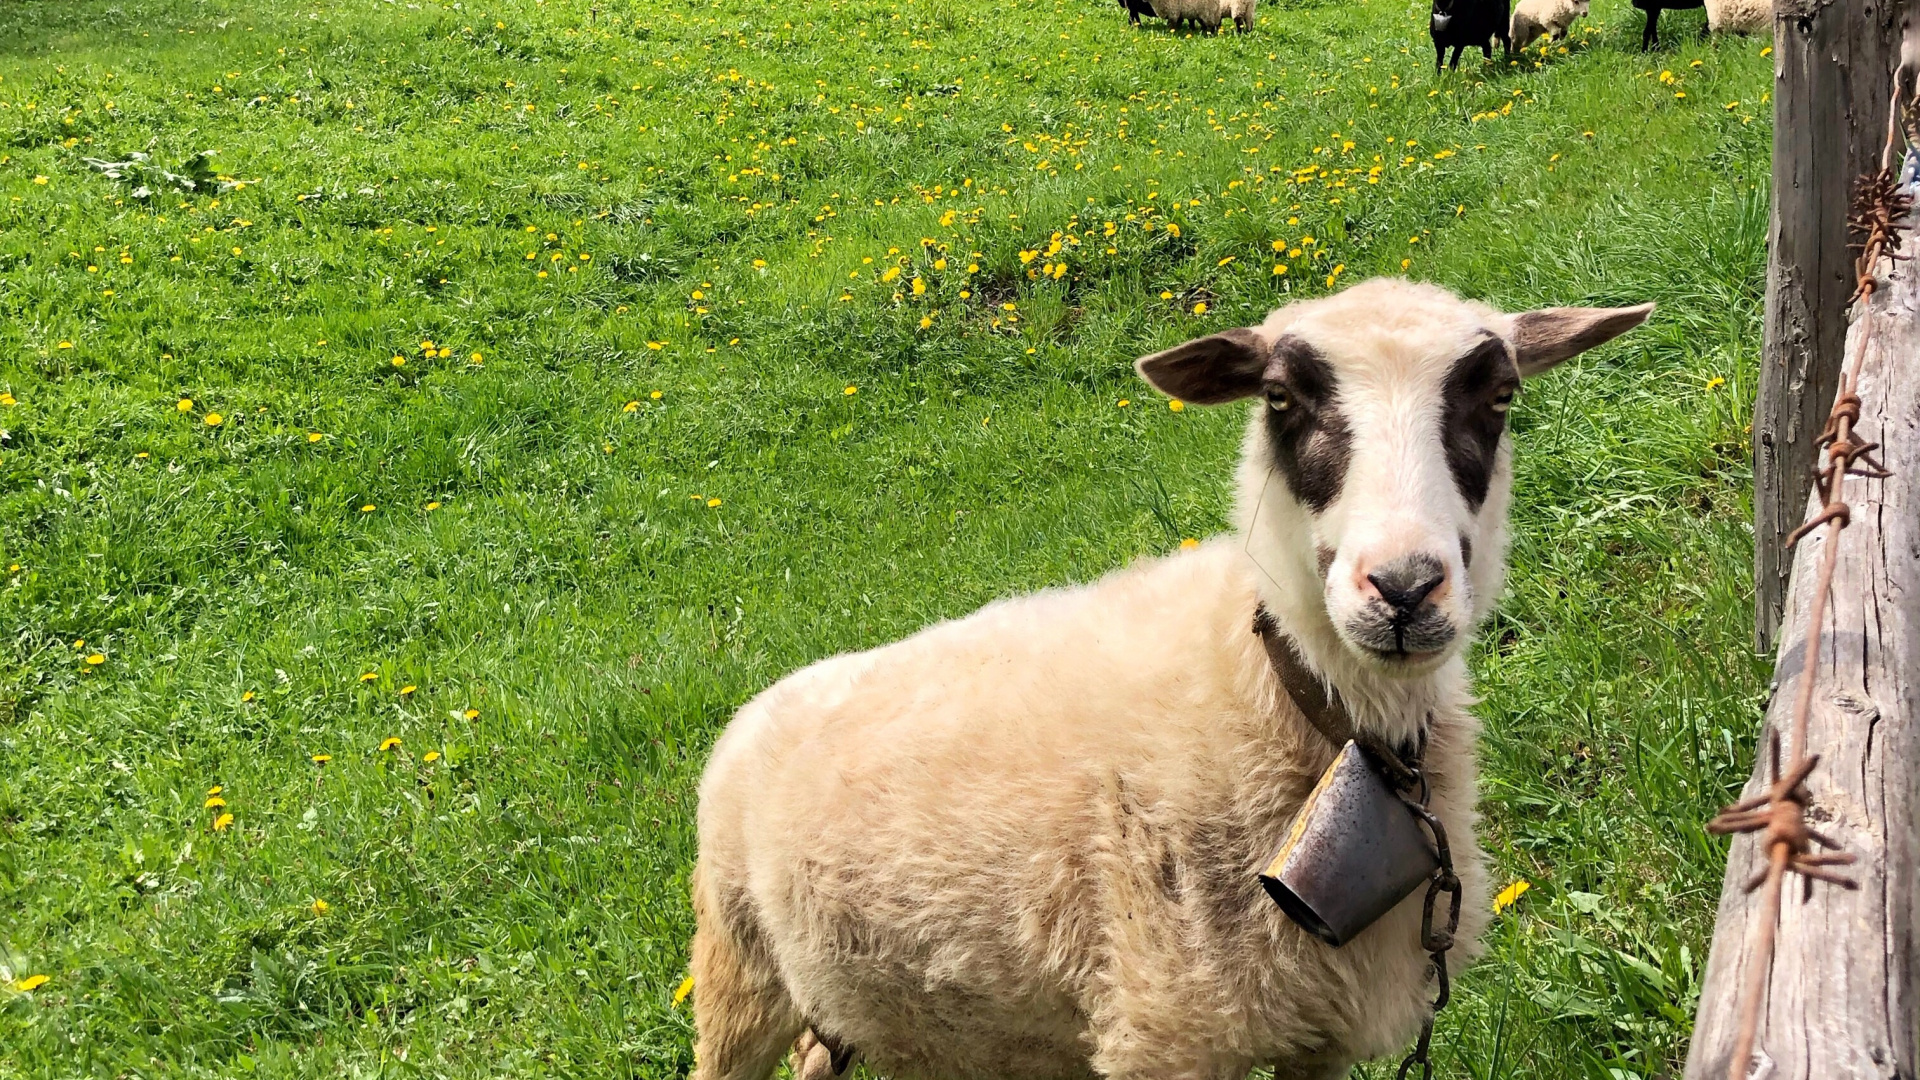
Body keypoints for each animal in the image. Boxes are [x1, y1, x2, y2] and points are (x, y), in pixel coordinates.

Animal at [689, 278, 1653, 1080]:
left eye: (1499, 396)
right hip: (737, 965)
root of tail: (766, 699)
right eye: (1280, 399)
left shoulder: (1318, 1029)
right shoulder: (1169, 1031)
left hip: (867, 1007)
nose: (1405, 588)